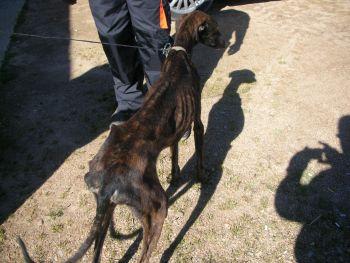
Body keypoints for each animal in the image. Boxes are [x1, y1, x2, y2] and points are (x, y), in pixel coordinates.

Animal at [18, 10, 224, 263]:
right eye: (216, 29)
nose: (226, 43)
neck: (179, 54)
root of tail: (107, 184)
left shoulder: (173, 133)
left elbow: (174, 151)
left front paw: (174, 176)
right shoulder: (198, 123)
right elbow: (199, 154)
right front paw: (202, 176)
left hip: (106, 211)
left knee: (96, 251)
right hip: (157, 210)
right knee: (145, 253)